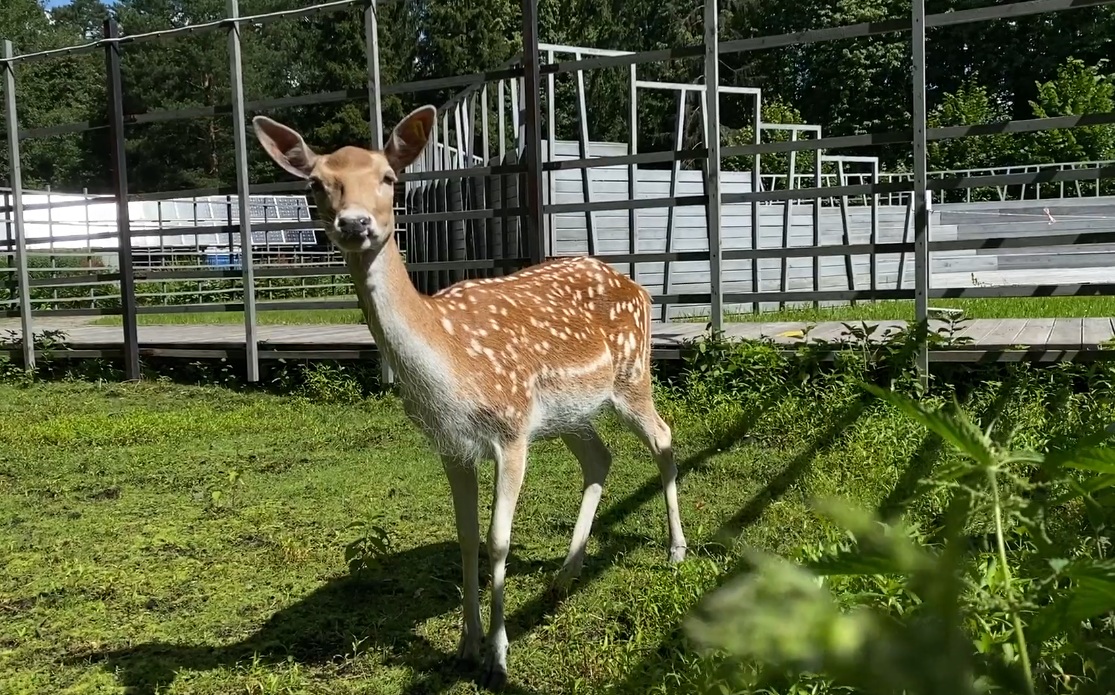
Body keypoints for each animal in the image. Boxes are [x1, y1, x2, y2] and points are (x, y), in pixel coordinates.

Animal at [253, 105, 686, 687]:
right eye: (317, 184)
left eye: (388, 178)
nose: (355, 224)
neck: (451, 369)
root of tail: (638, 286)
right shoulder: (451, 444)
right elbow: (465, 537)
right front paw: (466, 645)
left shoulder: (511, 428)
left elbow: (498, 540)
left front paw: (498, 659)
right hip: (571, 412)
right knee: (599, 457)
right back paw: (565, 574)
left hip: (632, 374)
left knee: (662, 436)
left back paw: (675, 550)